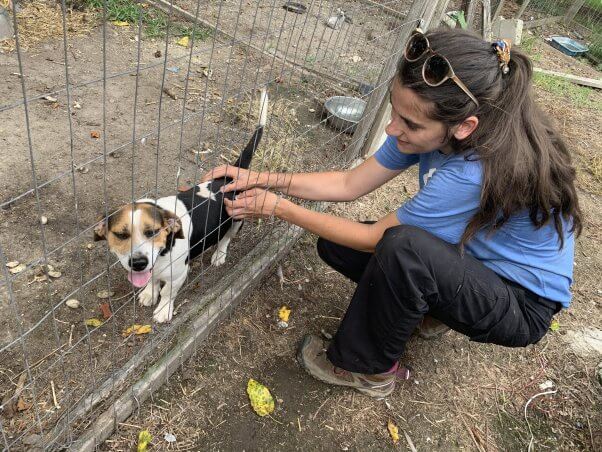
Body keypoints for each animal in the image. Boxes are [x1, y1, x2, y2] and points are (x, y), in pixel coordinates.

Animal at [94, 88, 268, 322]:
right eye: (121, 235)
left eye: (152, 232)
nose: (138, 263)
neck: (163, 252)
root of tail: (230, 176)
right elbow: (152, 280)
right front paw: (149, 293)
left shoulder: (177, 275)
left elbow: (168, 292)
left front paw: (163, 310)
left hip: (237, 219)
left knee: (226, 238)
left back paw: (219, 255)